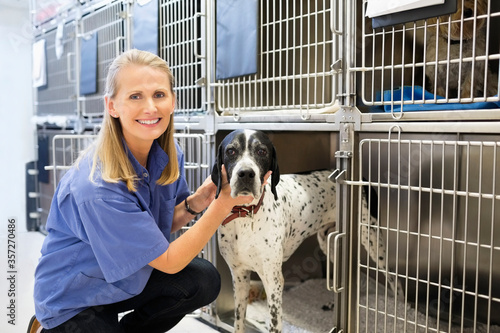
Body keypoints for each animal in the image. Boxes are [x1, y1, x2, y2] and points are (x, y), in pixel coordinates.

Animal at [210, 130, 394, 332]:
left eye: (262, 151)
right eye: (231, 151)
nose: (245, 174)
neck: (245, 216)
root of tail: (361, 179)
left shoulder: (273, 280)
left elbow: (274, 323)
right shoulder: (240, 276)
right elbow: (239, 320)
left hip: (373, 241)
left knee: (395, 281)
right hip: (328, 243)